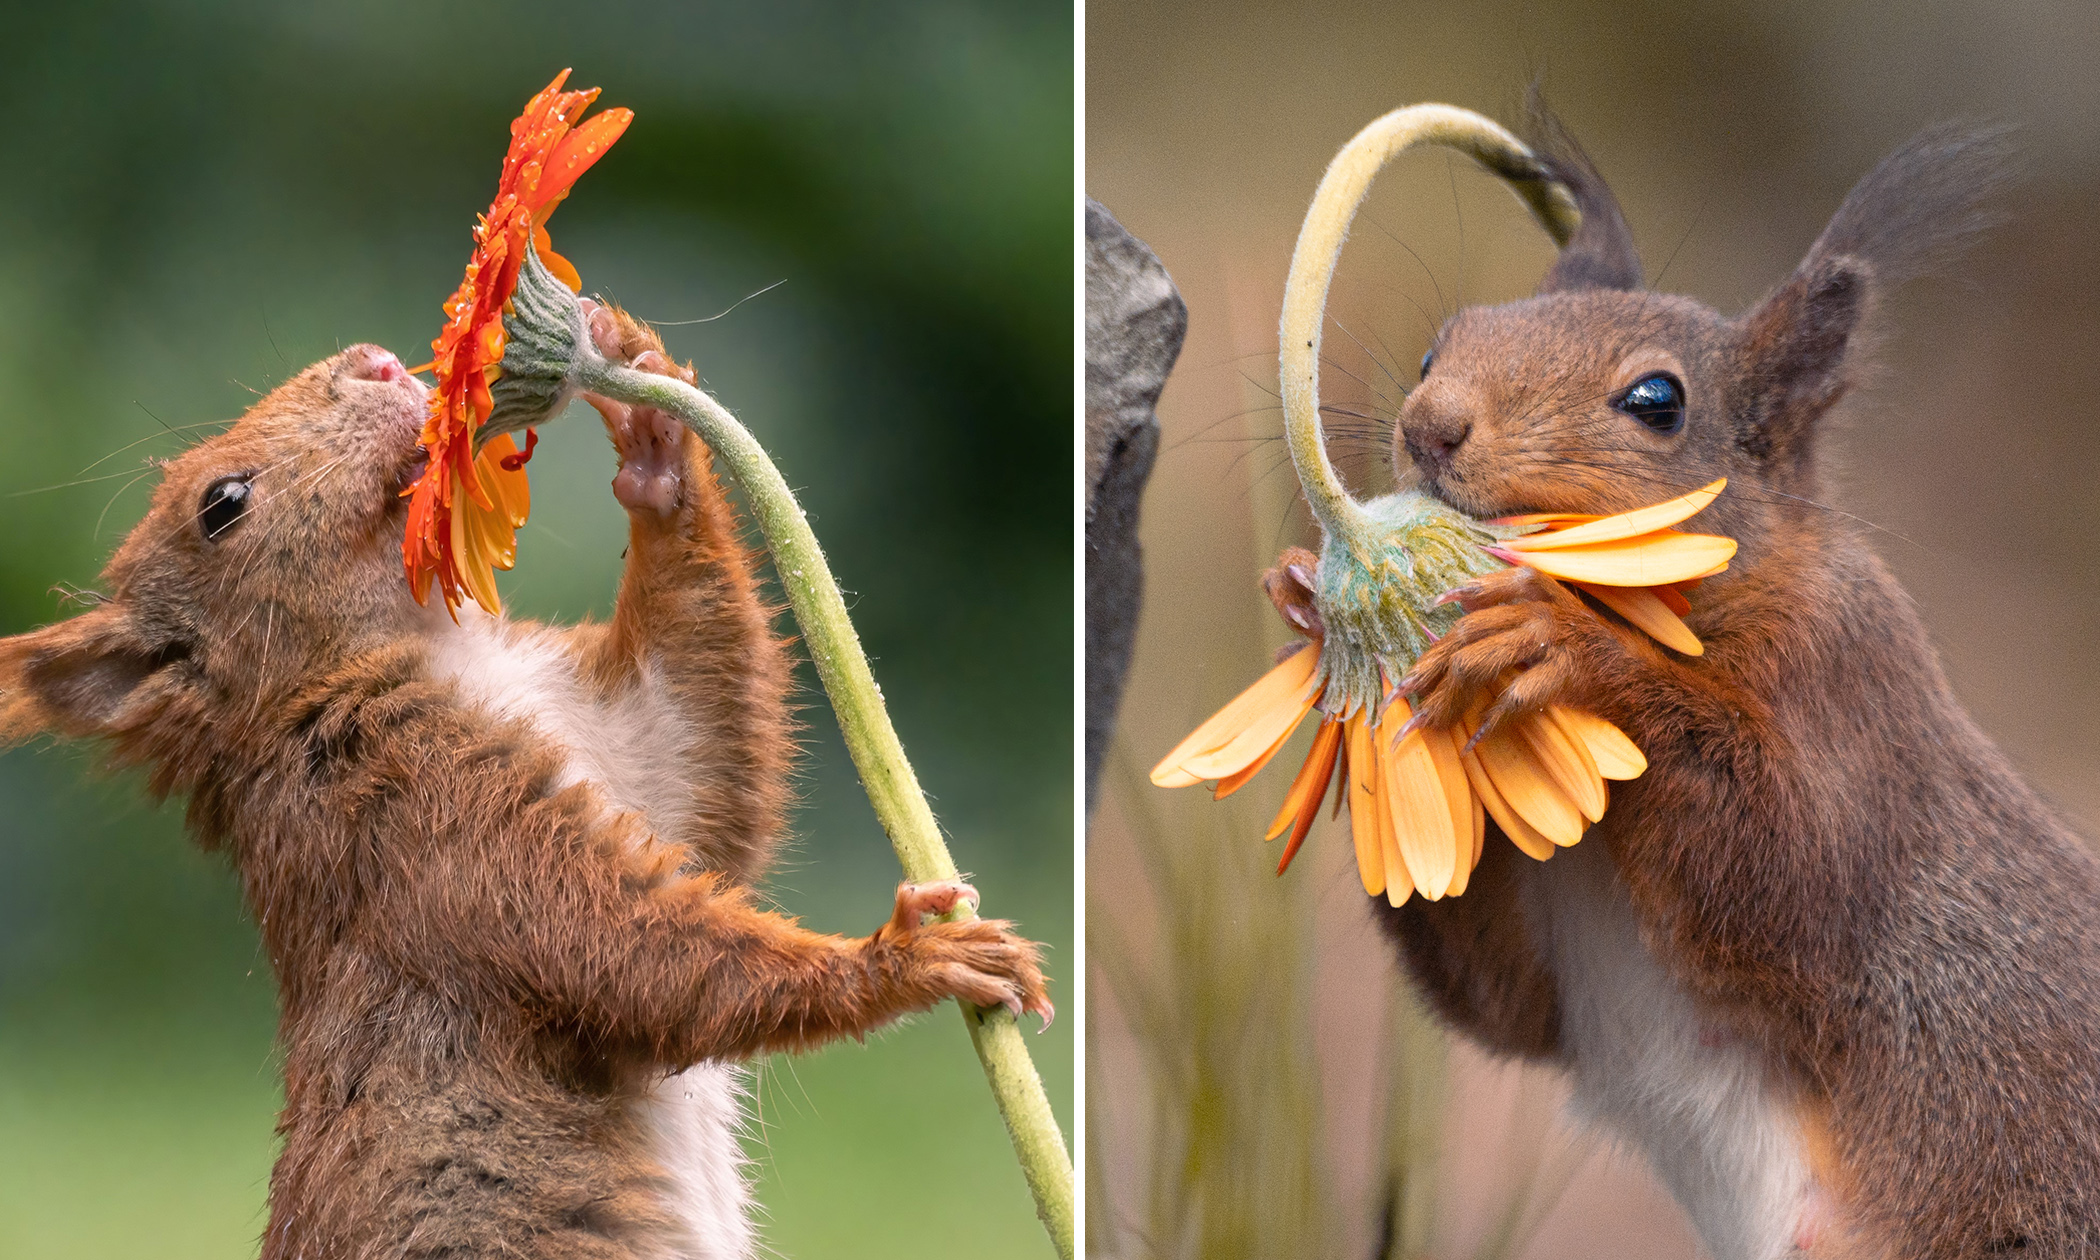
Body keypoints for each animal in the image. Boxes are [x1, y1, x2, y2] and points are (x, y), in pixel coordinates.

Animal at [0, 304, 1050, 1260]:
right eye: (222, 504)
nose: (377, 359)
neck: (434, 649)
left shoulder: (625, 745)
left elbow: (704, 768)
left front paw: (651, 431)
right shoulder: (415, 821)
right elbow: (619, 945)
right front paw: (908, 955)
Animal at [1260, 122, 2100, 1251]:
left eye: (1656, 401)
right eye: (1442, 345)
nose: (1430, 423)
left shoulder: (1852, 693)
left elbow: (1787, 880)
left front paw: (1566, 645)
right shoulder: (1549, 946)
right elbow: (1499, 995)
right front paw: (1304, 601)